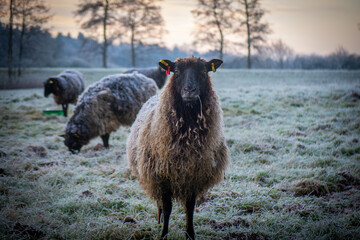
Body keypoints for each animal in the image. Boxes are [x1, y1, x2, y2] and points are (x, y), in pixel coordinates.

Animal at [126, 57, 229, 239]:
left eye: (204, 71)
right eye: (177, 71)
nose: (190, 90)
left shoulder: (193, 175)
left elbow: (190, 208)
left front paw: (190, 234)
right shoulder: (162, 176)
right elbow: (167, 208)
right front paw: (163, 234)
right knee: (160, 204)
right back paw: (159, 220)